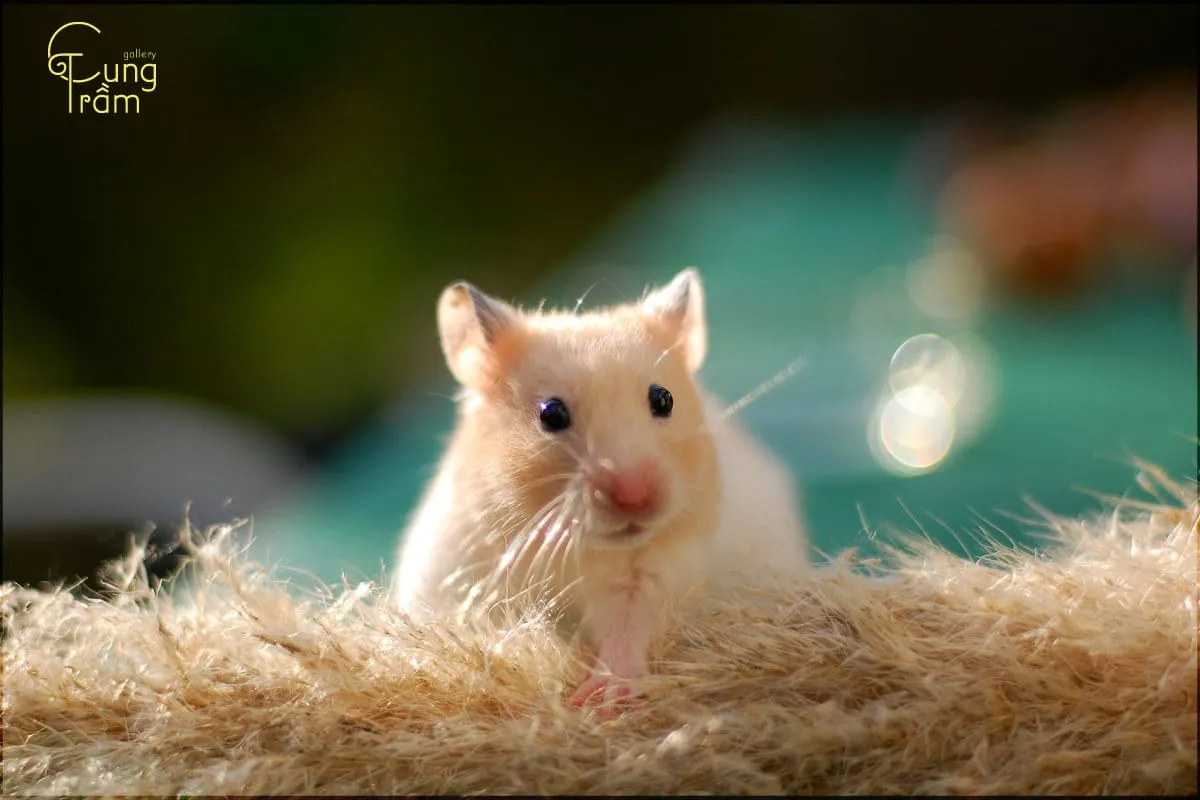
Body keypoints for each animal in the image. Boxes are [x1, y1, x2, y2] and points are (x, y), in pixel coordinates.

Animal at [391, 268, 810, 713]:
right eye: (551, 414)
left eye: (664, 399)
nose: (635, 497)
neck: (577, 549)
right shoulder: (463, 574)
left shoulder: (657, 571)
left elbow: (628, 626)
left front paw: (603, 700)